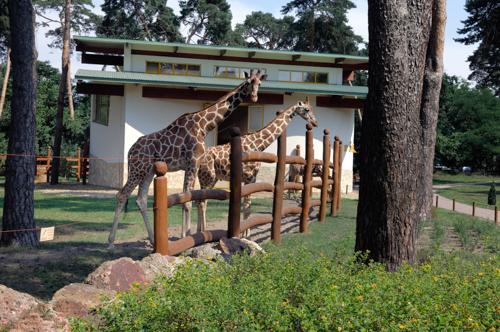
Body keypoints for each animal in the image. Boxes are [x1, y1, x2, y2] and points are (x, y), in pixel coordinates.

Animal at [108, 70, 268, 248]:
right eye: (248, 82)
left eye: (259, 83)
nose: (254, 97)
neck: (204, 126)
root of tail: (130, 150)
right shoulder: (192, 162)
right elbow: (187, 200)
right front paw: (187, 237)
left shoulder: (192, 165)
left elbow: (187, 197)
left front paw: (187, 235)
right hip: (138, 169)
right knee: (122, 195)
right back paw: (111, 242)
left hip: (148, 171)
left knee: (141, 199)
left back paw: (152, 240)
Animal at [195, 100, 316, 232]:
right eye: (307, 109)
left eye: (312, 108)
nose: (315, 122)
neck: (257, 146)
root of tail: (199, 159)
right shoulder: (248, 177)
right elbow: (247, 207)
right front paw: (245, 234)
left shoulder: (251, 178)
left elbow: (247, 206)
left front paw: (245, 232)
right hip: (207, 177)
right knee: (202, 202)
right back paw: (203, 231)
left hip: (212, 179)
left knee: (201, 201)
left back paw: (197, 231)